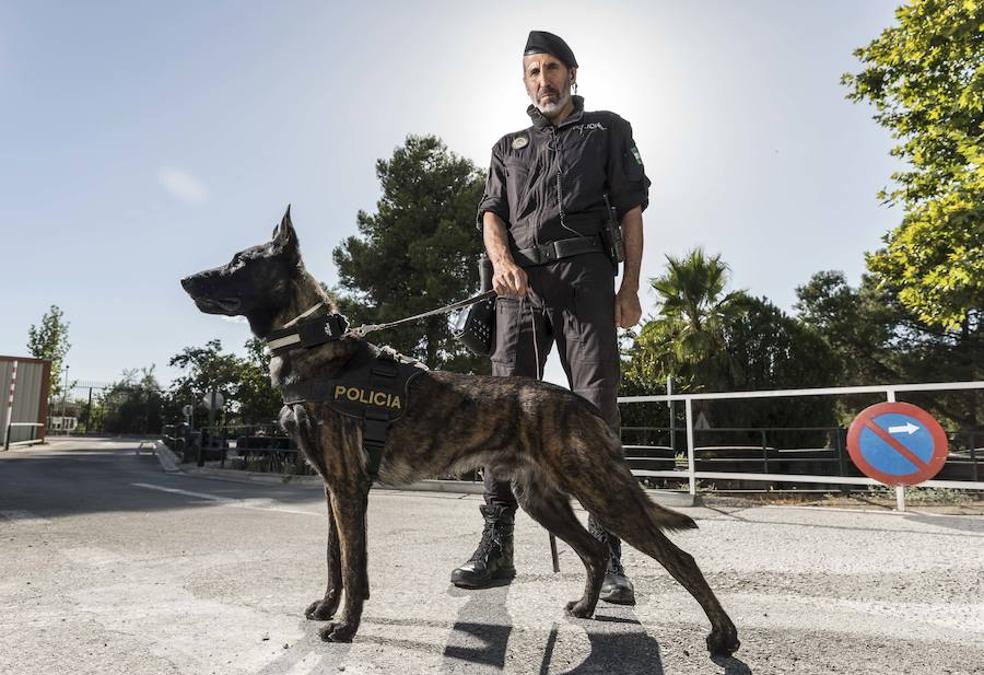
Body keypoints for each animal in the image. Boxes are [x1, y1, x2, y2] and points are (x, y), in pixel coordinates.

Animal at [181, 209, 740, 656]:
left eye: (240, 262)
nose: (186, 280)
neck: (317, 348)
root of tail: (578, 403)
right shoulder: (329, 486)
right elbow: (334, 558)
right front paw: (326, 607)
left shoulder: (347, 487)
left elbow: (356, 565)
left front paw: (346, 627)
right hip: (541, 500)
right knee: (596, 550)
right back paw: (585, 608)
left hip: (602, 492)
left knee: (678, 557)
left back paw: (723, 636)